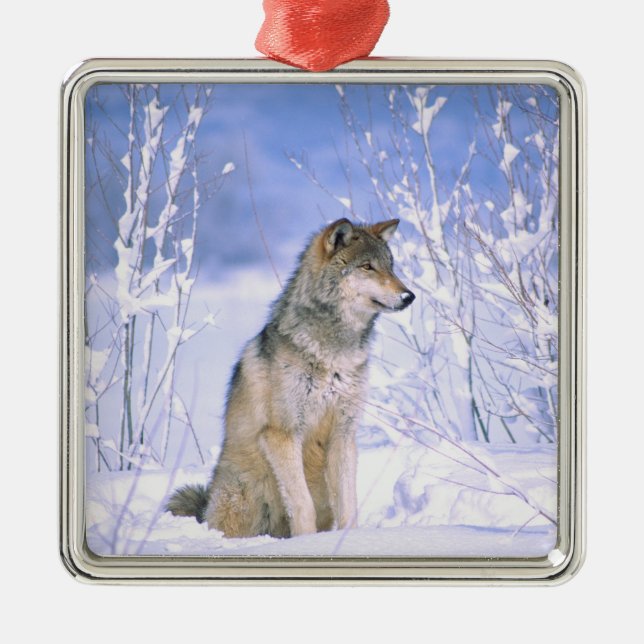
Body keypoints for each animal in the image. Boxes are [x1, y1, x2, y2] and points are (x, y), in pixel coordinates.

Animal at [166, 218, 415, 538]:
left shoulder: (343, 434)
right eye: (367, 267)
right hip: (242, 496)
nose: (409, 296)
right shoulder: (282, 434)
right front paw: (306, 543)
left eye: (390, 266)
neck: (334, 354)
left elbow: (349, 506)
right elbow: (302, 504)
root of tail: (204, 508)